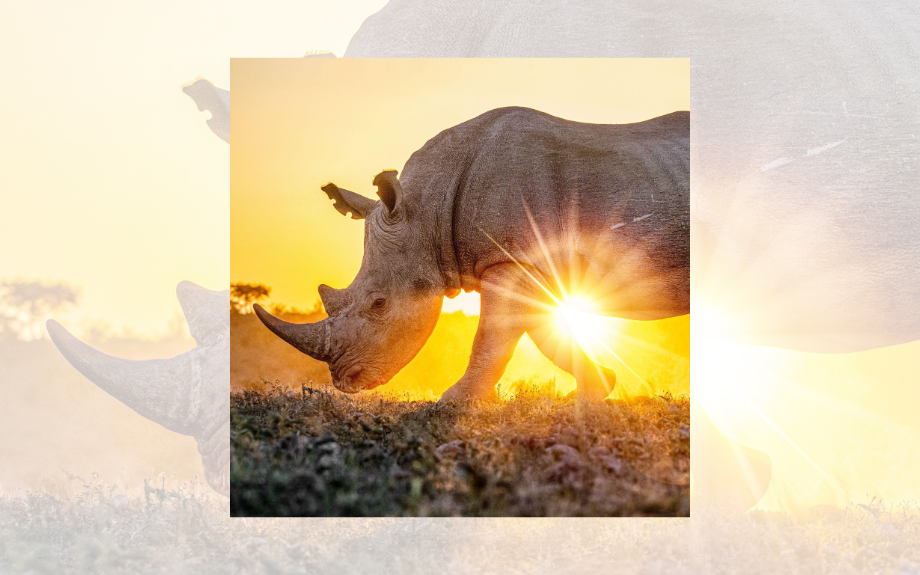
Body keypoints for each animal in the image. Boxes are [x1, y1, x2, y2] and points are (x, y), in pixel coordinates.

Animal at [254, 106, 689, 401]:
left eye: (379, 304)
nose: (346, 381)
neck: (427, 210)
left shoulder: (511, 258)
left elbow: (492, 336)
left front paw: (451, 403)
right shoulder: (525, 262)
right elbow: (539, 331)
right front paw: (595, 388)